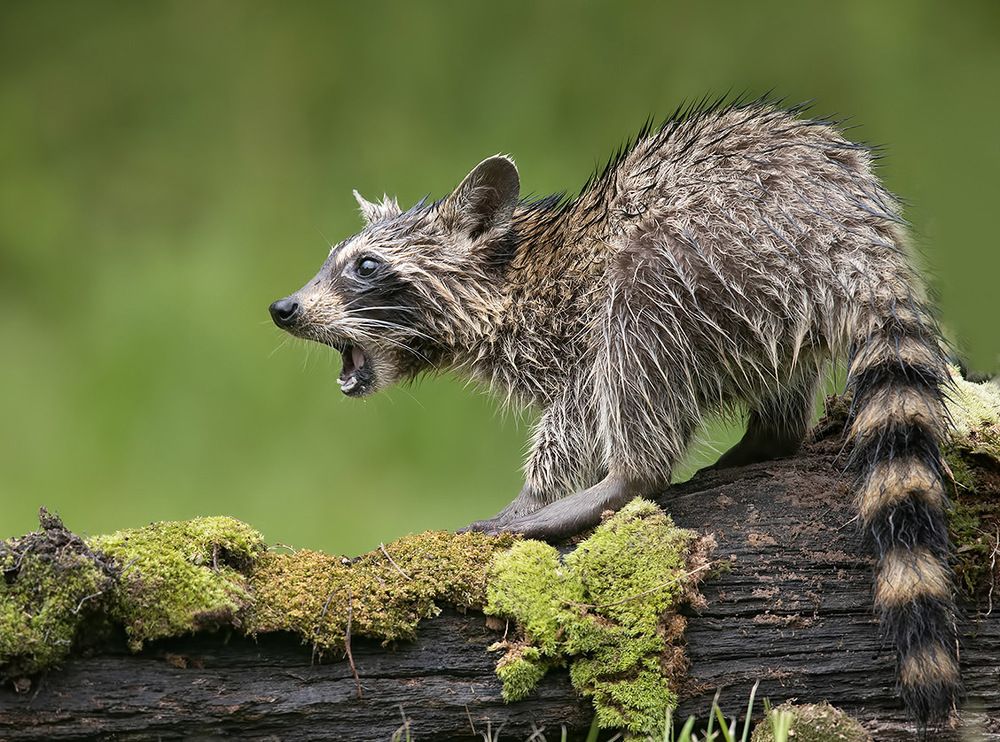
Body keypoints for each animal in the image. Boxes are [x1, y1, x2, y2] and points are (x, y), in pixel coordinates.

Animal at [269, 98, 958, 722]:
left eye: (365, 267)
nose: (282, 308)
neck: (510, 274)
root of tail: (855, 242)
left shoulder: (569, 327)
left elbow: (575, 410)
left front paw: (536, 492)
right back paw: (771, 435)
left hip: (710, 255)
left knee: (638, 319)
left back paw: (626, 477)